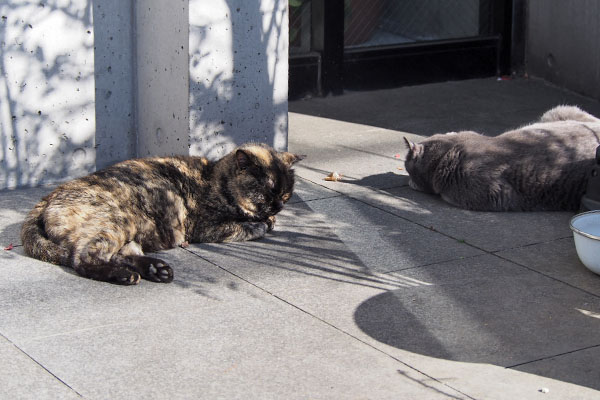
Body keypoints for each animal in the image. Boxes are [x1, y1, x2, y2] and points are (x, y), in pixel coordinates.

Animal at [21, 144, 302, 284]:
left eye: (286, 194)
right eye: (267, 192)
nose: (278, 206)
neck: (216, 179)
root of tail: (47, 198)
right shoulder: (205, 226)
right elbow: (246, 226)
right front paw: (262, 224)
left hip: (127, 230)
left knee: (122, 253)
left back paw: (157, 269)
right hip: (116, 221)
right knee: (83, 257)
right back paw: (124, 276)